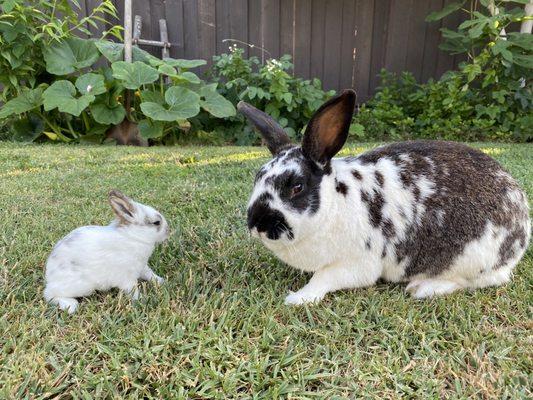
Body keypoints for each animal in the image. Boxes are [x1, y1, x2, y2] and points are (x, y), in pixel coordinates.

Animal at [239, 89, 528, 304]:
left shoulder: (357, 264)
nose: (256, 224)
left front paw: (298, 298)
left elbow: (322, 278)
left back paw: (422, 288)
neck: (335, 205)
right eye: (257, 177)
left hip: (471, 260)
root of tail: (522, 220)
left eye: (297, 187)